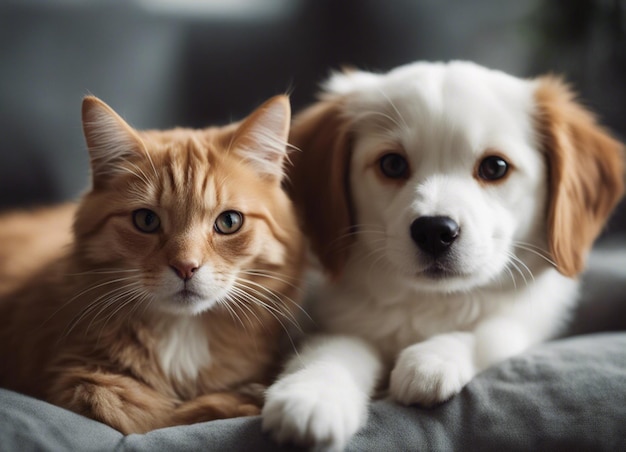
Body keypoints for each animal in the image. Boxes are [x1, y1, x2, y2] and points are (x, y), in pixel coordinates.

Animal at [0, 93, 304, 432]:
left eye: (229, 222)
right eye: (146, 220)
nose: (186, 267)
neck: (183, 334)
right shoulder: (84, 384)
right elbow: (154, 417)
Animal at [260, 61, 620, 452]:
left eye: (495, 167)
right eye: (392, 164)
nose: (434, 231)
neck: (431, 302)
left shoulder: (532, 318)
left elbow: (493, 331)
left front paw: (432, 360)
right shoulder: (331, 320)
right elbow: (332, 348)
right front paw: (312, 394)